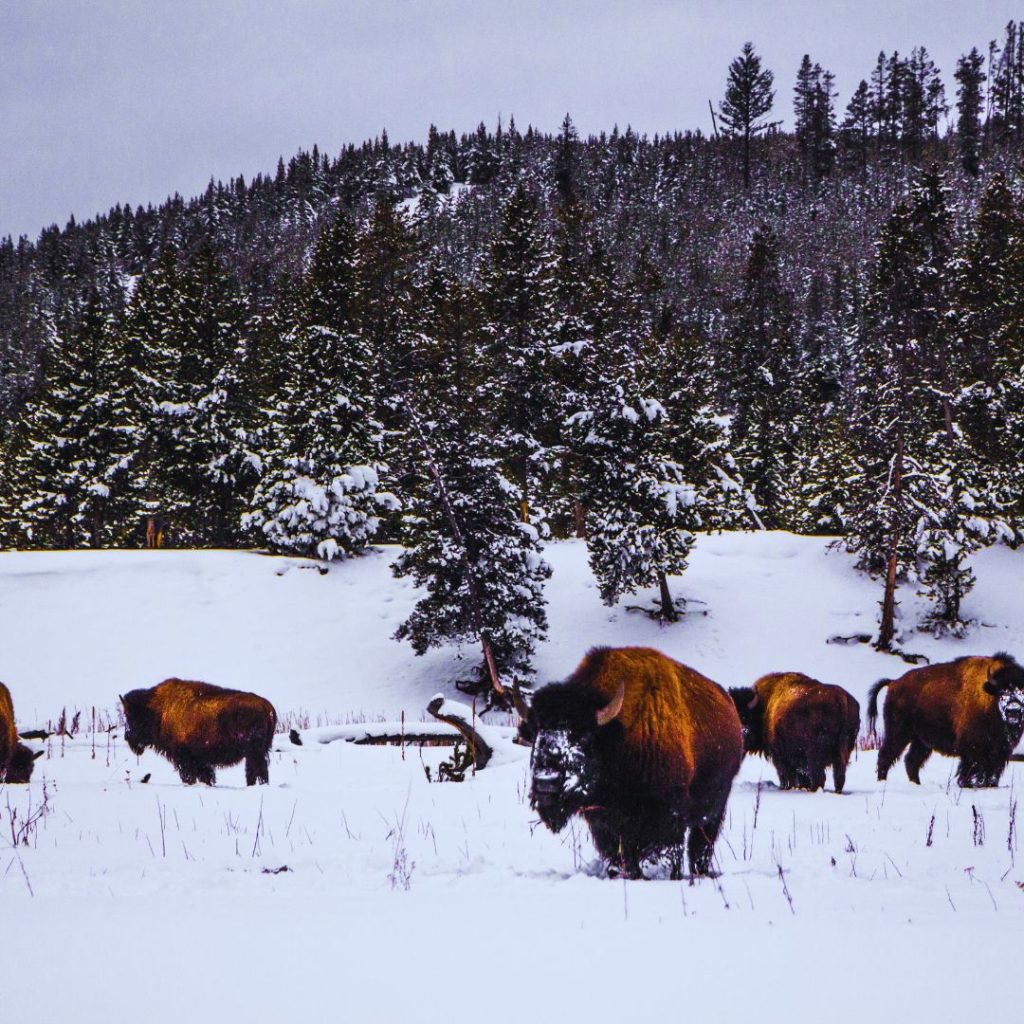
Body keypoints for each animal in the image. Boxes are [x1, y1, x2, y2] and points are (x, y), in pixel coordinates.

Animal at [120, 679, 278, 782]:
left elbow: (189, 776)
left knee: (258, 770)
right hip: (255, 753)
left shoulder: (184, 758)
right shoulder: (199, 760)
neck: (158, 710)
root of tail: (266, 706)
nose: (127, 737)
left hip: (254, 752)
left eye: (130, 715)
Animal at [524, 647, 741, 880]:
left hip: (714, 810)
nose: (546, 781)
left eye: (584, 735)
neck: (619, 737)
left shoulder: (669, 817)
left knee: (701, 845)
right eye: (538, 732)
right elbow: (622, 855)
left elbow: (670, 852)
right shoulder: (605, 824)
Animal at [729, 671, 864, 790]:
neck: (763, 707)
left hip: (815, 754)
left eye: (744, 717)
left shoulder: (781, 757)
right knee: (839, 777)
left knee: (819, 777)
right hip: (843, 753)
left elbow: (786, 776)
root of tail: (841, 698)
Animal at [868, 651, 1024, 786]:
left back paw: (916, 784)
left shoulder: (999, 751)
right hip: (898, 733)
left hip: (922, 741)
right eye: (1002, 692)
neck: (990, 700)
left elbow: (991, 772)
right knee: (886, 756)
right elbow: (970, 769)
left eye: (1022, 691)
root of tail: (894, 683)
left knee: (911, 761)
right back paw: (883, 782)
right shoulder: (972, 748)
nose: (1013, 711)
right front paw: (966, 784)